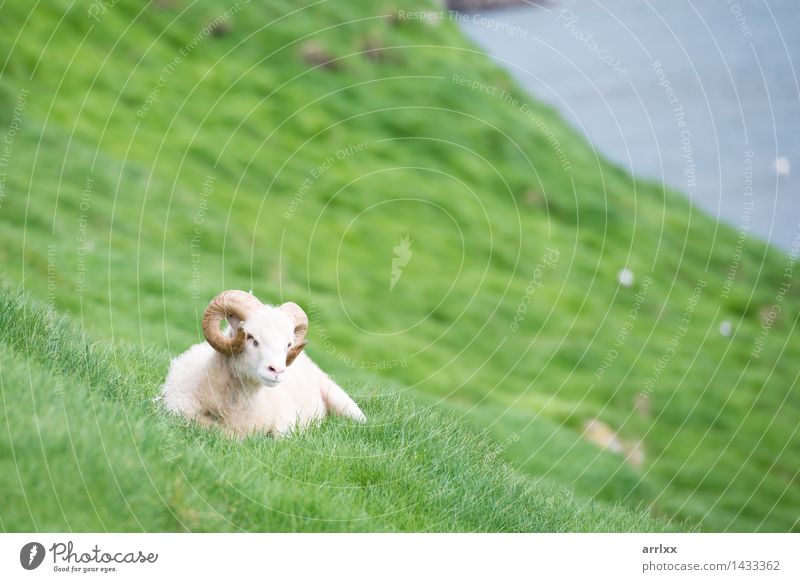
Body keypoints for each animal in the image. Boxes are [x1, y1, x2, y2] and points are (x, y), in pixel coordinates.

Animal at [163, 292, 368, 438]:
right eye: (251, 338)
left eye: (288, 344)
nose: (276, 370)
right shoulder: (177, 408)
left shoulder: (287, 421)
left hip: (342, 401)